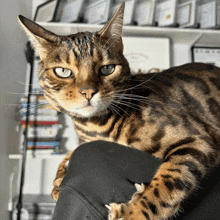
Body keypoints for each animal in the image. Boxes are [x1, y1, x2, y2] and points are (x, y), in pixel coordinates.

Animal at [18, 3, 220, 220]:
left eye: (107, 69)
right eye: (63, 71)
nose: (88, 92)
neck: (96, 126)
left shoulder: (198, 140)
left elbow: (168, 182)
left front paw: (133, 211)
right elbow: (73, 151)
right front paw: (58, 179)